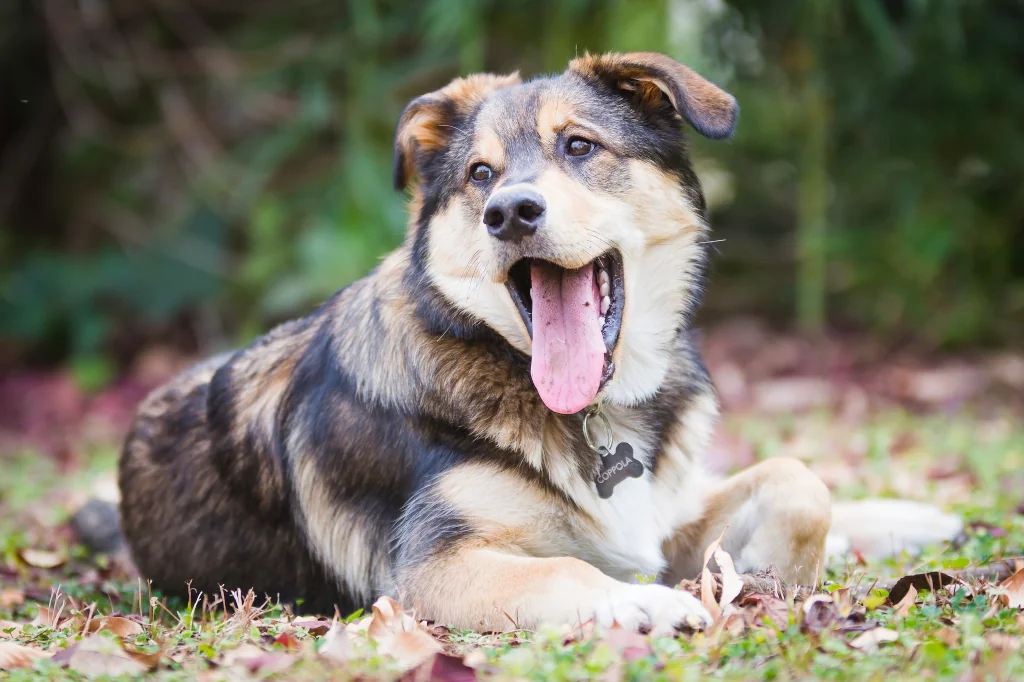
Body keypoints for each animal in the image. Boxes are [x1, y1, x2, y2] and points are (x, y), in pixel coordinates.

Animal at [114, 53, 958, 630]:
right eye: (480, 174)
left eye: (579, 147)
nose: (510, 212)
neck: (594, 411)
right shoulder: (431, 571)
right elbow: (565, 575)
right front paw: (652, 606)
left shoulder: (659, 519)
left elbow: (797, 480)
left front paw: (768, 575)